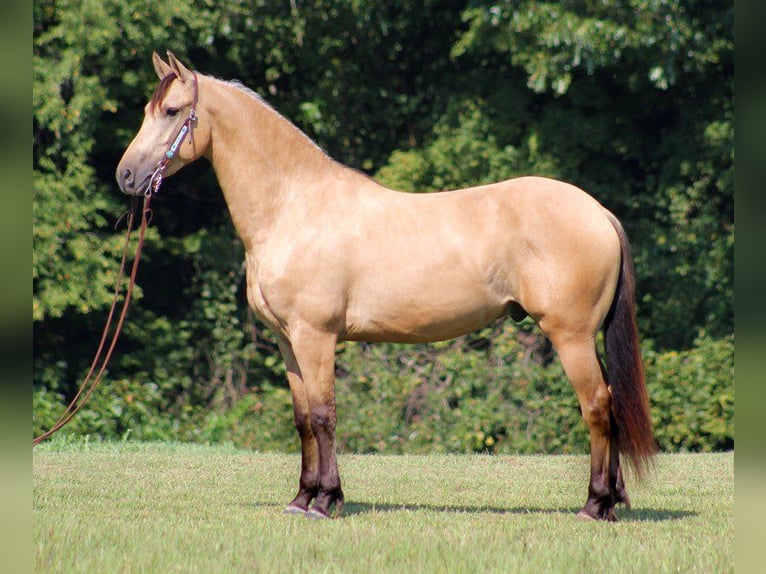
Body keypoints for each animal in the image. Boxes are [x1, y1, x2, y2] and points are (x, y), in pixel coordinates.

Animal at [117, 53, 656, 520]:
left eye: (171, 111)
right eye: (147, 110)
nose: (126, 175)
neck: (294, 207)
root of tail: (598, 212)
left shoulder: (316, 337)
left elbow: (323, 416)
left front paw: (325, 501)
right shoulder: (288, 341)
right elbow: (302, 419)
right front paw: (301, 498)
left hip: (571, 337)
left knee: (598, 407)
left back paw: (594, 505)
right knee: (609, 403)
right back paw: (611, 503)